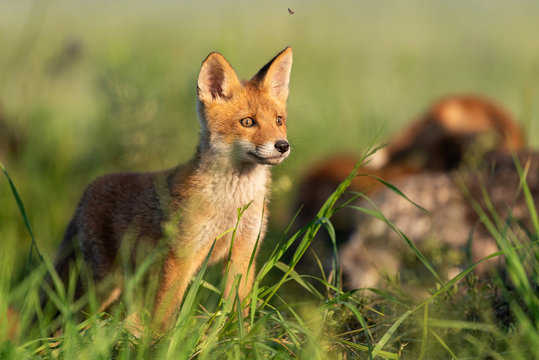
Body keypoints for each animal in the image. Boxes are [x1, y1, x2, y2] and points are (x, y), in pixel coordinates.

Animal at [48, 46, 294, 330]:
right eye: (247, 122)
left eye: (279, 120)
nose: (282, 145)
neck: (233, 205)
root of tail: (89, 188)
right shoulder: (181, 256)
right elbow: (165, 316)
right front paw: (161, 341)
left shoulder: (243, 253)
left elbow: (238, 311)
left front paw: (239, 337)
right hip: (102, 285)